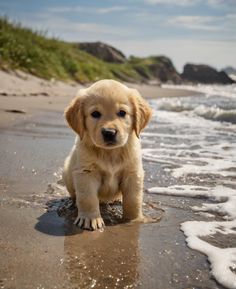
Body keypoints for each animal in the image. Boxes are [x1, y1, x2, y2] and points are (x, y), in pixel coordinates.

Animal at [62, 79, 152, 230]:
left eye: (122, 113)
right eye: (95, 114)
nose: (109, 133)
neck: (110, 153)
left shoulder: (132, 173)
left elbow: (133, 199)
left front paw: (134, 219)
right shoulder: (85, 172)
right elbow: (88, 198)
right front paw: (90, 218)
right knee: (76, 195)